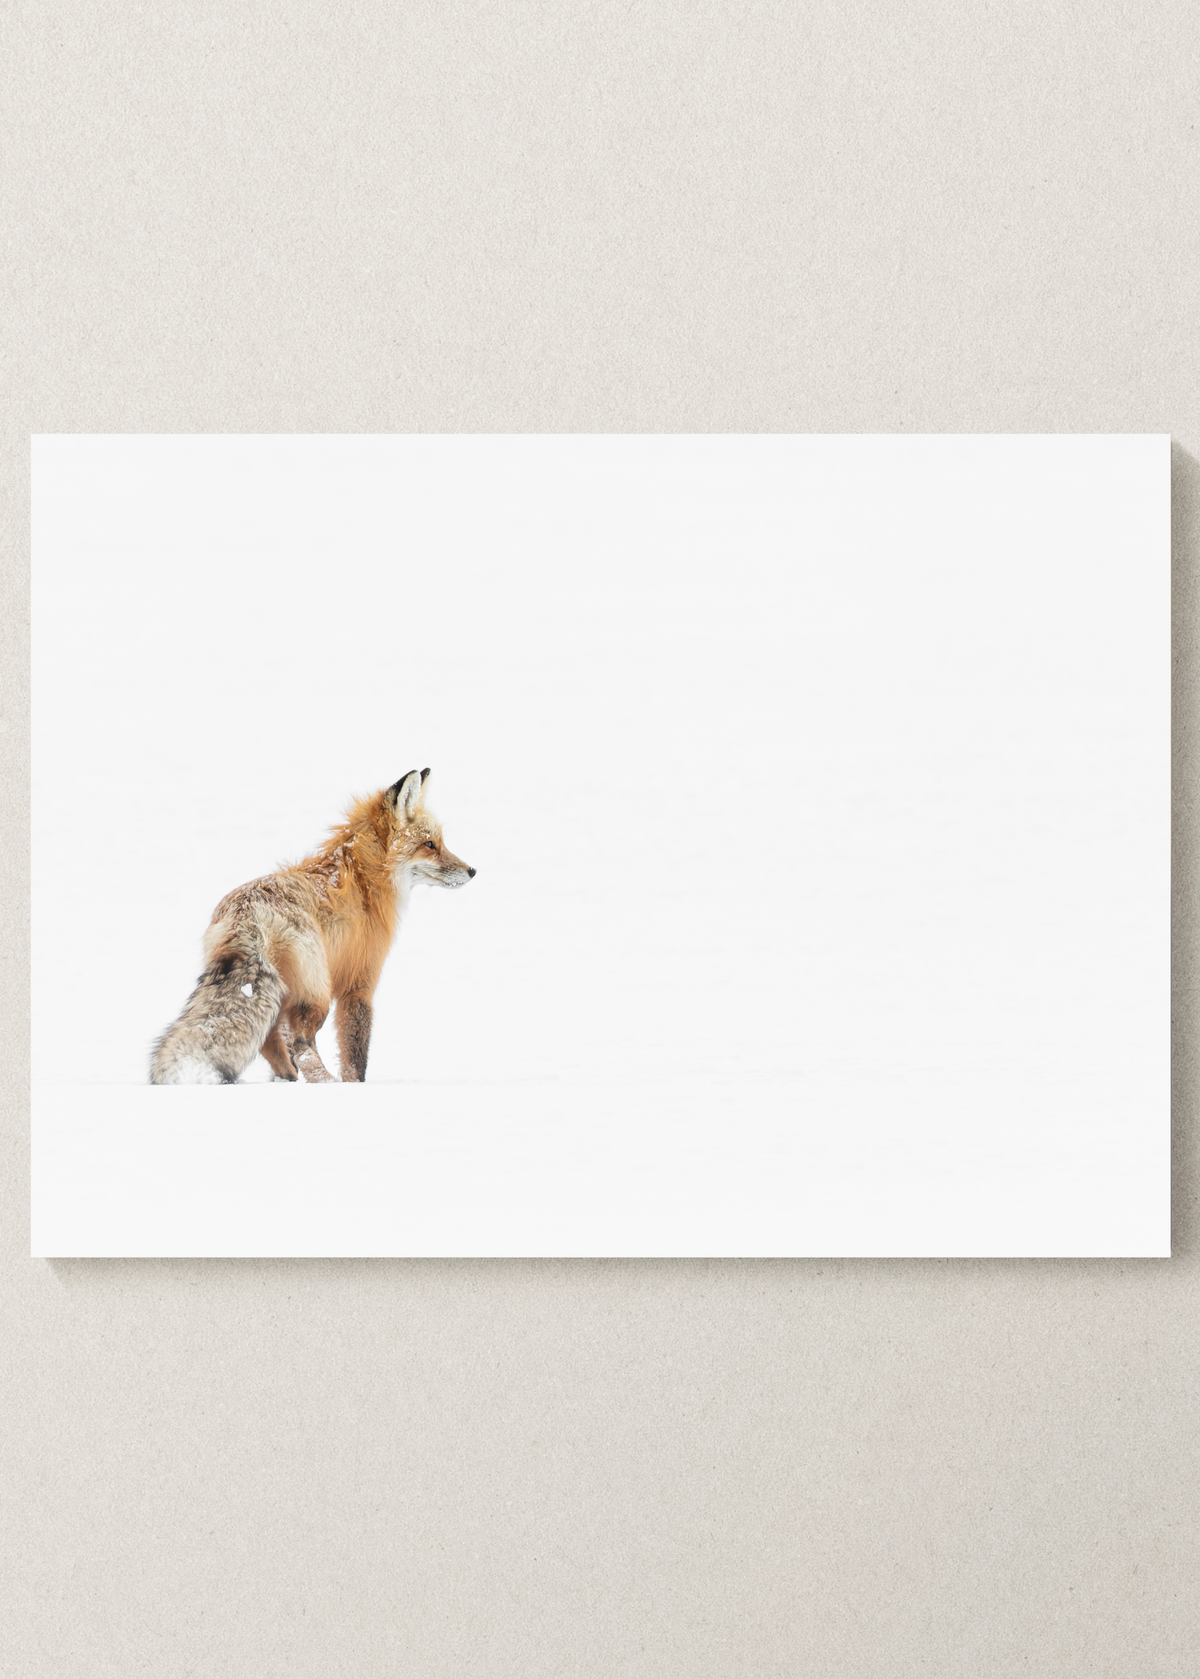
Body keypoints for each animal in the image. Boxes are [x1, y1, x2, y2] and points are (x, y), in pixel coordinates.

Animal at [149, 768, 474, 1085]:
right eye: (429, 844)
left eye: (439, 842)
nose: (472, 870)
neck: (364, 878)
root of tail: (246, 911)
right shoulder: (359, 983)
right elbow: (355, 1052)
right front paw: (354, 1084)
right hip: (316, 992)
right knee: (301, 1043)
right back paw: (323, 1081)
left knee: (271, 1040)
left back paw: (287, 1078)